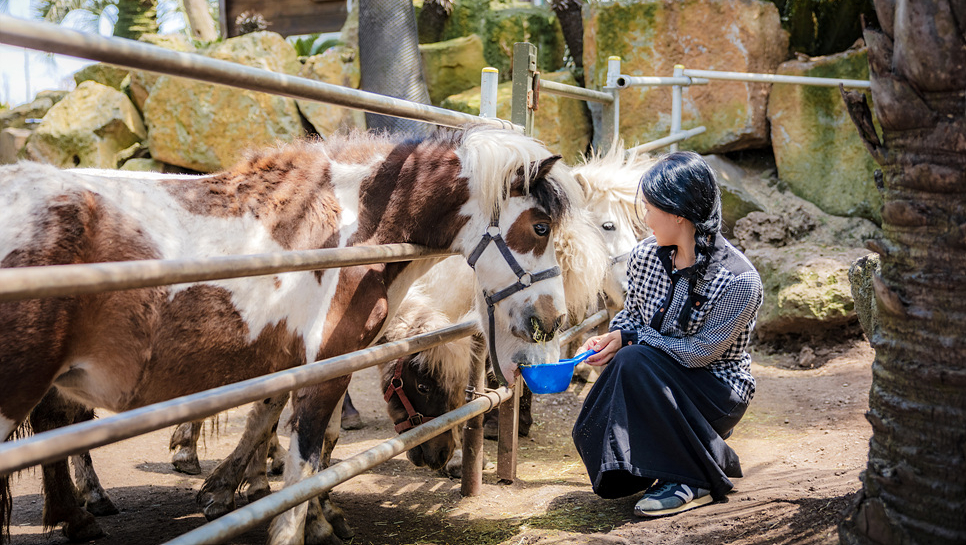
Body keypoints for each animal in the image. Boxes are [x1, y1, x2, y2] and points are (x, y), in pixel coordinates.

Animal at [0, 124, 584, 544]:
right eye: (539, 227)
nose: (552, 319)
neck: (348, 228)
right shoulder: (323, 371)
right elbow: (305, 462)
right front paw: (297, 517)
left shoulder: (291, 368)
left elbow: (280, 432)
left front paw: (242, 493)